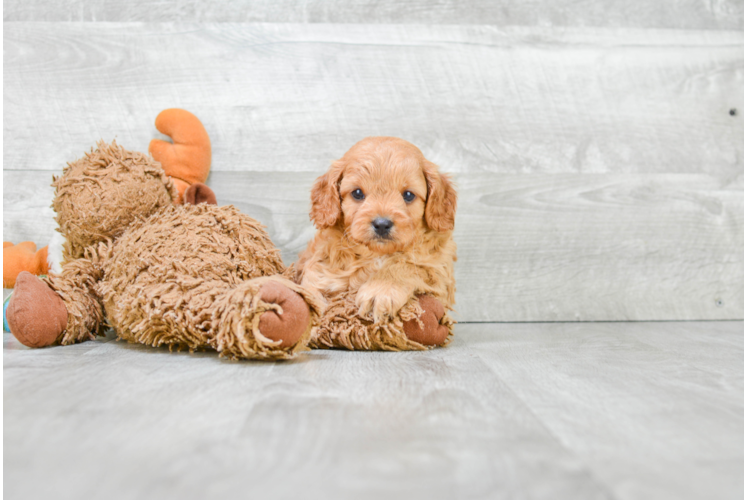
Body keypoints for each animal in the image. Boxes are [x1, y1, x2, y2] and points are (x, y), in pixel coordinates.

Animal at [296, 138, 456, 324]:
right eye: (357, 193)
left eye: (408, 195)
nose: (382, 224)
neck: (377, 254)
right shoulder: (320, 263)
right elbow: (315, 286)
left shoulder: (440, 273)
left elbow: (408, 265)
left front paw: (380, 292)